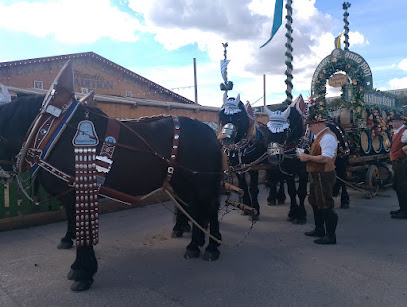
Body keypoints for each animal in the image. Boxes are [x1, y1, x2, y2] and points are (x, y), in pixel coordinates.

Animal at [0, 83, 223, 292]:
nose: (5, 173)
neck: (53, 134)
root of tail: (210, 132)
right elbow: (78, 227)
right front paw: (78, 263)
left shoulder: (78, 194)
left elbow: (83, 232)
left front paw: (83, 272)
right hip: (184, 183)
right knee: (194, 208)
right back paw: (194, 245)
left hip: (203, 183)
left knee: (210, 209)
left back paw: (212, 247)